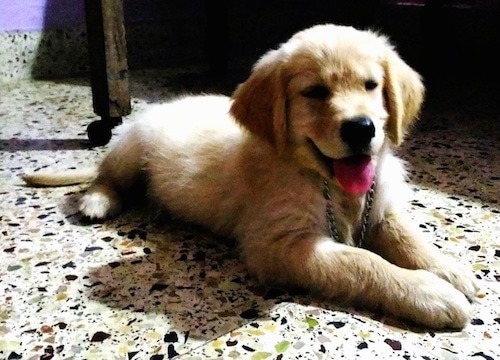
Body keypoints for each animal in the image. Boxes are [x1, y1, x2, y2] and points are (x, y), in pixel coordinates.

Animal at [23, 24, 476, 330]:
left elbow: (408, 237)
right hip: (130, 148)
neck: (325, 183)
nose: (362, 129)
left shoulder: (380, 208)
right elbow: (361, 261)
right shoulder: (279, 244)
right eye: (315, 92)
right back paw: (96, 201)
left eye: (371, 85)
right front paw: (429, 293)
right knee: (105, 176)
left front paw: (448, 269)